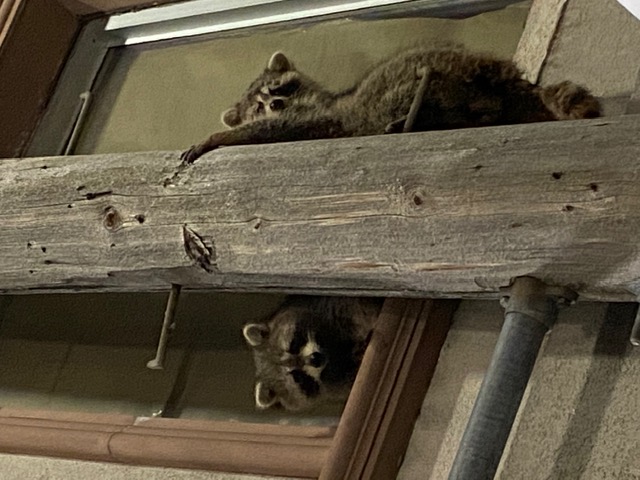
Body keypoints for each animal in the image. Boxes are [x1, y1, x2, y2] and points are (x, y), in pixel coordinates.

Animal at [181, 47, 600, 163]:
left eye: (279, 87)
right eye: (258, 105)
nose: (278, 102)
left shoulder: (319, 116)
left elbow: (281, 129)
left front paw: (214, 137)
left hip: (425, 79)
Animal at [242, 296, 382, 411]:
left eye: (293, 345)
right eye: (297, 376)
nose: (316, 359)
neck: (331, 356)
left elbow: (352, 311)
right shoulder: (332, 386)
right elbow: (345, 381)